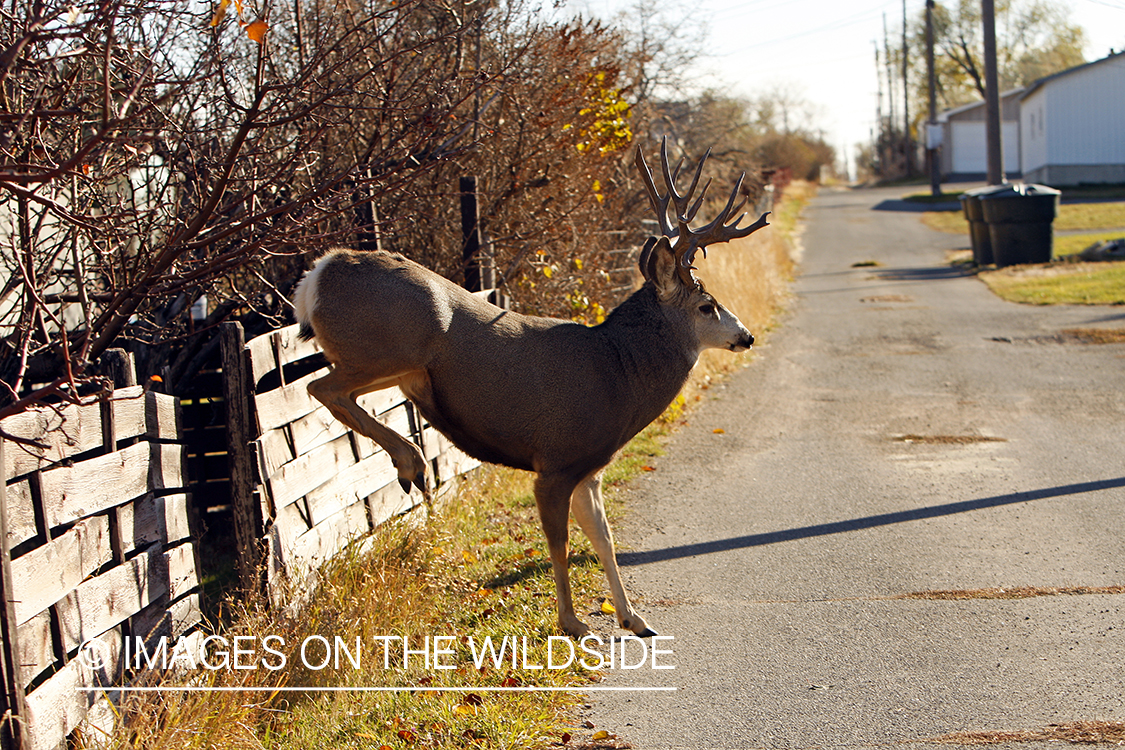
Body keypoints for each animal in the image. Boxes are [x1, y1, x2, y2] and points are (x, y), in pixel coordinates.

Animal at [292, 138, 770, 638]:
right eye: (707, 305)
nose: (747, 335)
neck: (619, 371)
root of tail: (317, 274)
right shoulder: (555, 464)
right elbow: (560, 544)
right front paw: (573, 622)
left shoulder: (590, 469)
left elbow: (605, 538)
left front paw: (635, 619)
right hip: (390, 349)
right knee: (322, 388)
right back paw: (412, 462)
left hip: (399, 368)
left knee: (334, 392)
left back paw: (411, 463)